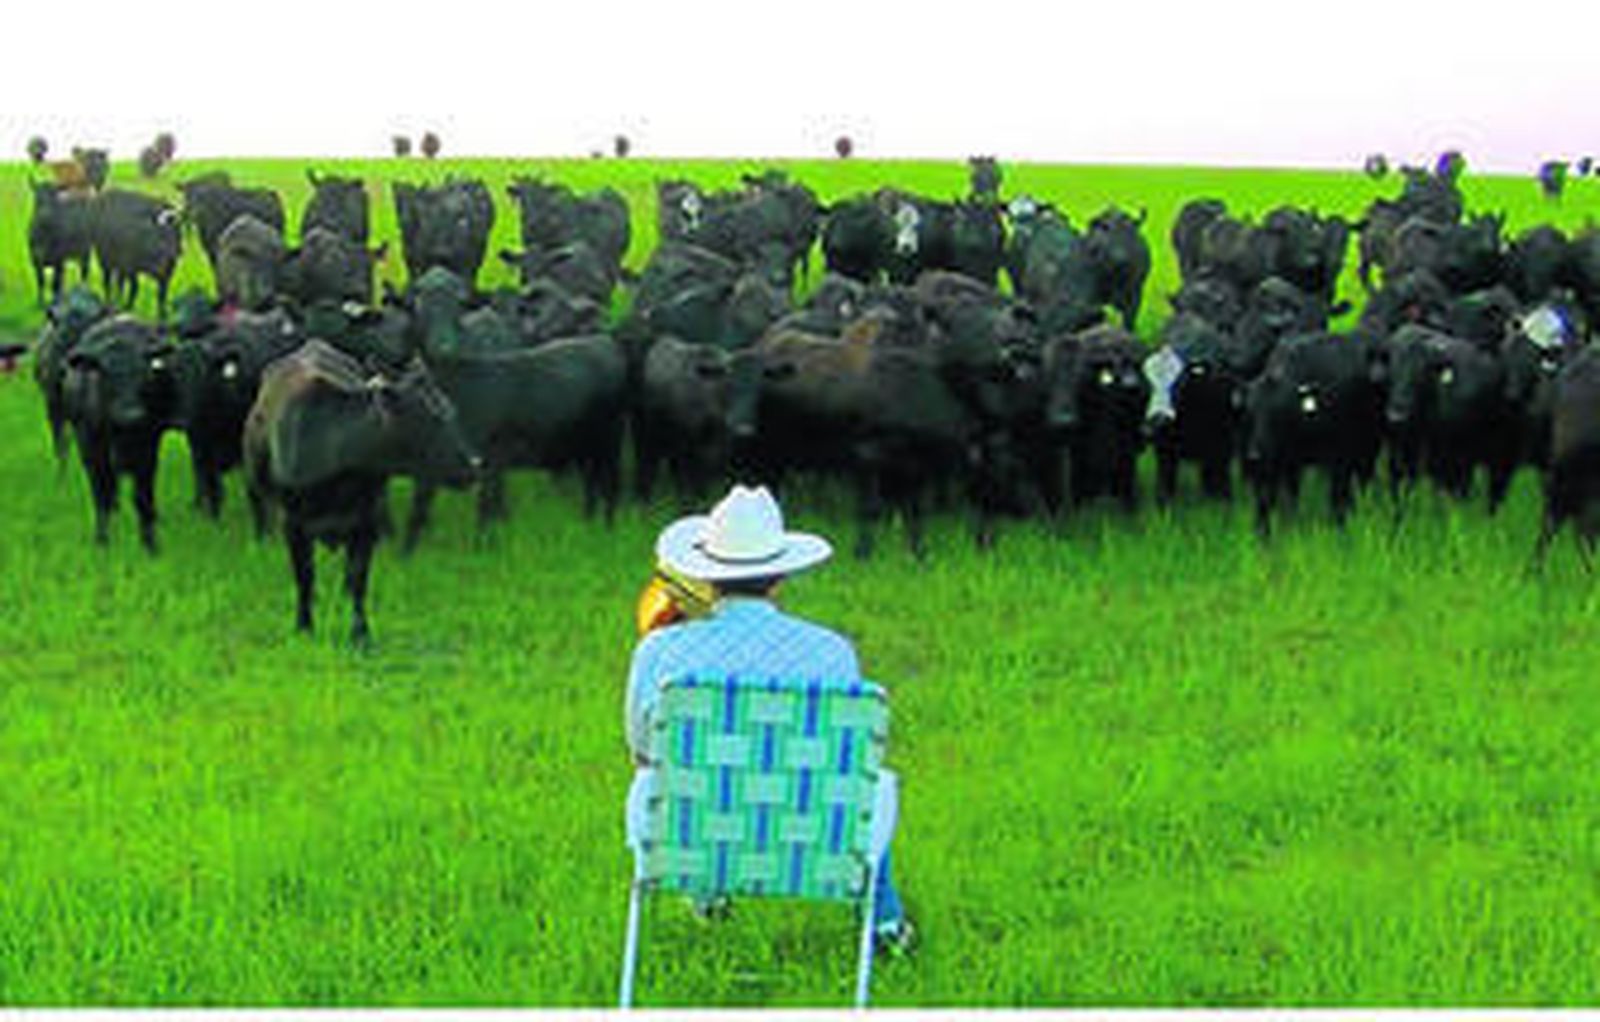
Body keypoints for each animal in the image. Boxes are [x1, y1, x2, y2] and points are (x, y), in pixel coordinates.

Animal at [243, 340, 480, 644]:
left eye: (450, 411)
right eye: (432, 418)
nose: (473, 465)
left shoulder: (367, 522)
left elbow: (358, 579)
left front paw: (360, 634)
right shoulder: (293, 524)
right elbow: (304, 576)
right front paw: (304, 627)